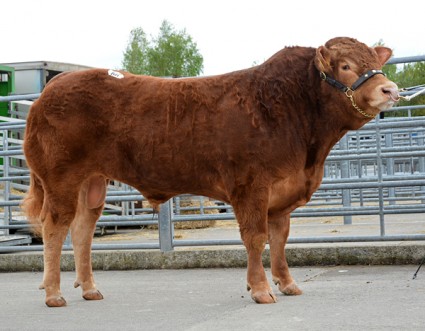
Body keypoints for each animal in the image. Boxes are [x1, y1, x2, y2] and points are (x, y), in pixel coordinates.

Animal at [21, 35, 400, 306]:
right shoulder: (251, 186)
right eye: (346, 66)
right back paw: (53, 293)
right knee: (55, 228)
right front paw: (261, 289)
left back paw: (89, 288)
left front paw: (288, 283)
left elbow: (279, 239)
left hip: (92, 183)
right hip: (61, 179)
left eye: (374, 62)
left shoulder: (282, 192)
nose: (391, 89)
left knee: (83, 231)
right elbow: (256, 237)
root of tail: (52, 89)